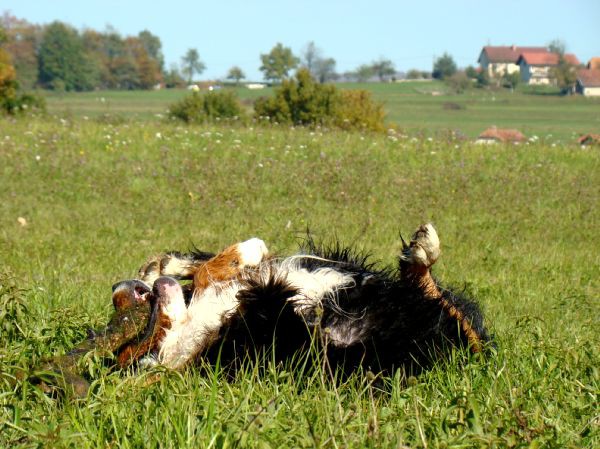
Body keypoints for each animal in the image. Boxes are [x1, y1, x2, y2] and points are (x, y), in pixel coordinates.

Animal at [110, 224, 490, 374]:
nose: (117, 289)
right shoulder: (267, 320)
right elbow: (212, 271)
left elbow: (211, 267)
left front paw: (165, 264)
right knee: (458, 322)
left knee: (446, 305)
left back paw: (422, 251)